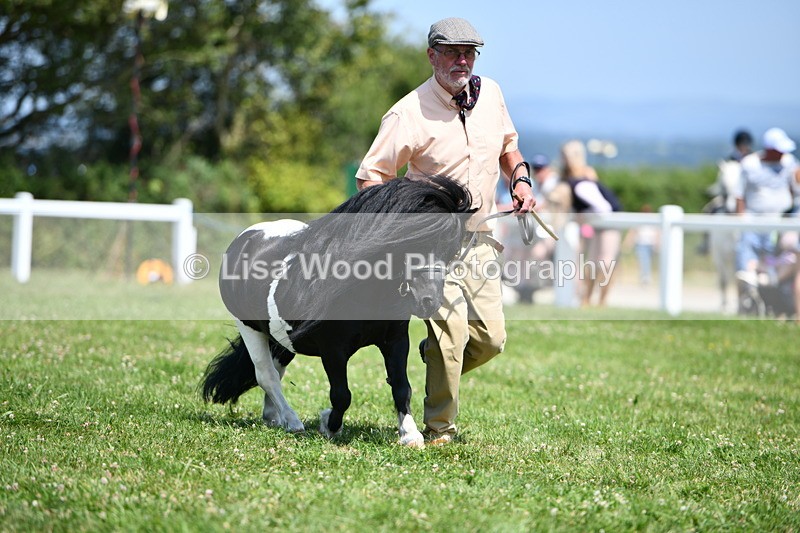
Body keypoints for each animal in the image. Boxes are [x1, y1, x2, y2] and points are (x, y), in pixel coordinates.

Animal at [201, 176, 475, 447]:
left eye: (450, 248)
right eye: (413, 241)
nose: (429, 301)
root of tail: (243, 241)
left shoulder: (395, 341)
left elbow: (401, 386)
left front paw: (410, 434)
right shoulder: (332, 350)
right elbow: (342, 395)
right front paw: (328, 425)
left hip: (282, 339)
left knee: (276, 370)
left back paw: (275, 417)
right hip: (249, 327)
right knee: (266, 375)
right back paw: (293, 421)